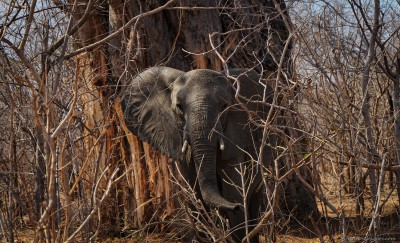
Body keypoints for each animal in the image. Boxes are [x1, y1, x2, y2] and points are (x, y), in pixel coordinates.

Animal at [120, 66, 274, 241]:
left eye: (225, 105)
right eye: (179, 106)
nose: (235, 208)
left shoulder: (235, 134)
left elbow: (234, 192)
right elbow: (194, 195)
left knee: (254, 196)